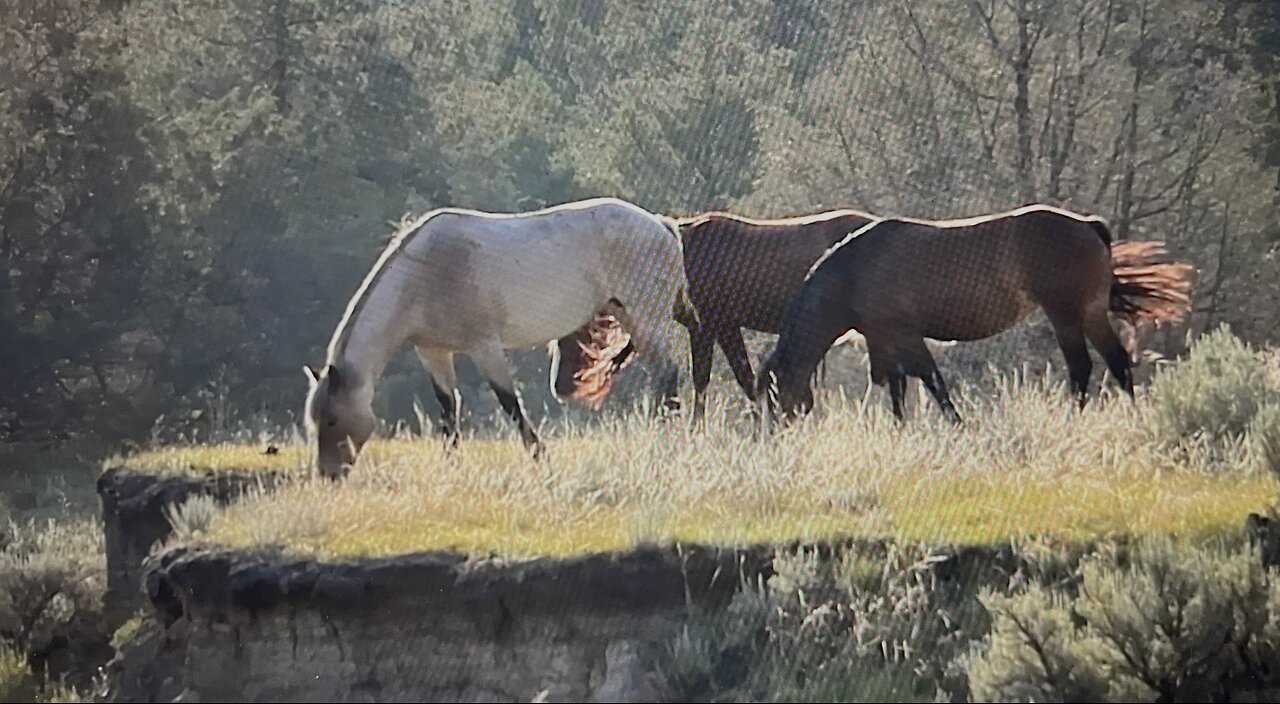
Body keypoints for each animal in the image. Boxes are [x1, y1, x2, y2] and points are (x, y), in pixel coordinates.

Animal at [752, 204, 1192, 424]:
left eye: (774, 400)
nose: (774, 435)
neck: (855, 271)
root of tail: (1087, 224)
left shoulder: (905, 336)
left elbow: (932, 382)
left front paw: (956, 424)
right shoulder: (883, 341)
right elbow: (897, 388)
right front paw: (901, 429)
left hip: (1066, 315)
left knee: (1082, 367)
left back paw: (1074, 419)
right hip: (1091, 314)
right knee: (1116, 362)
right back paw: (1131, 415)